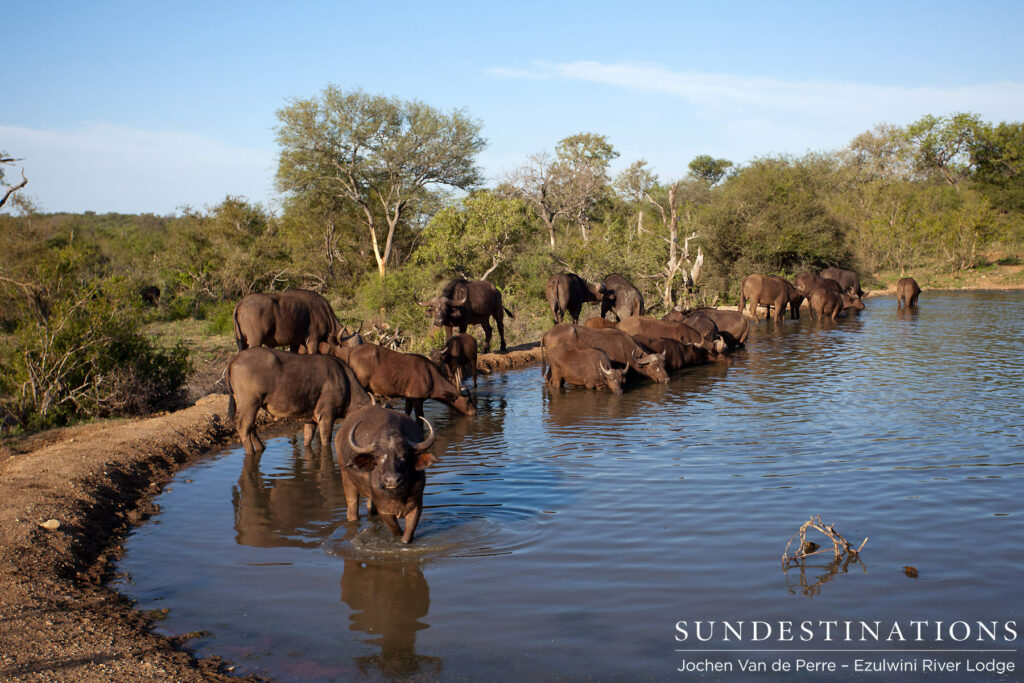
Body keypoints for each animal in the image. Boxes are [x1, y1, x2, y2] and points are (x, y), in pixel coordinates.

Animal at [227, 347, 371, 456]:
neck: (345, 382)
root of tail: (235, 359)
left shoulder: (311, 419)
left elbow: (308, 439)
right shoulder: (326, 416)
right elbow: (325, 441)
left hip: (253, 406)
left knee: (251, 427)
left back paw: (261, 448)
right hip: (250, 404)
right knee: (244, 427)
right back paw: (250, 452)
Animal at [337, 406, 437, 544]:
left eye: (404, 456)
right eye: (378, 457)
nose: (392, 480)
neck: (397, 495)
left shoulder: (416, 505)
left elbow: (407, 535)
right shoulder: (384, 511)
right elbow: (397, 532)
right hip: (346, 478)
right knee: (352, 511)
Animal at [343, 344, 476, 418]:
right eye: (468, 401)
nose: (475, 412)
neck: (432, 379)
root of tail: (351, 352)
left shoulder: (408, 397)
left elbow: (407, 413)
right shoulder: (418, 398)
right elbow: (420, 418)